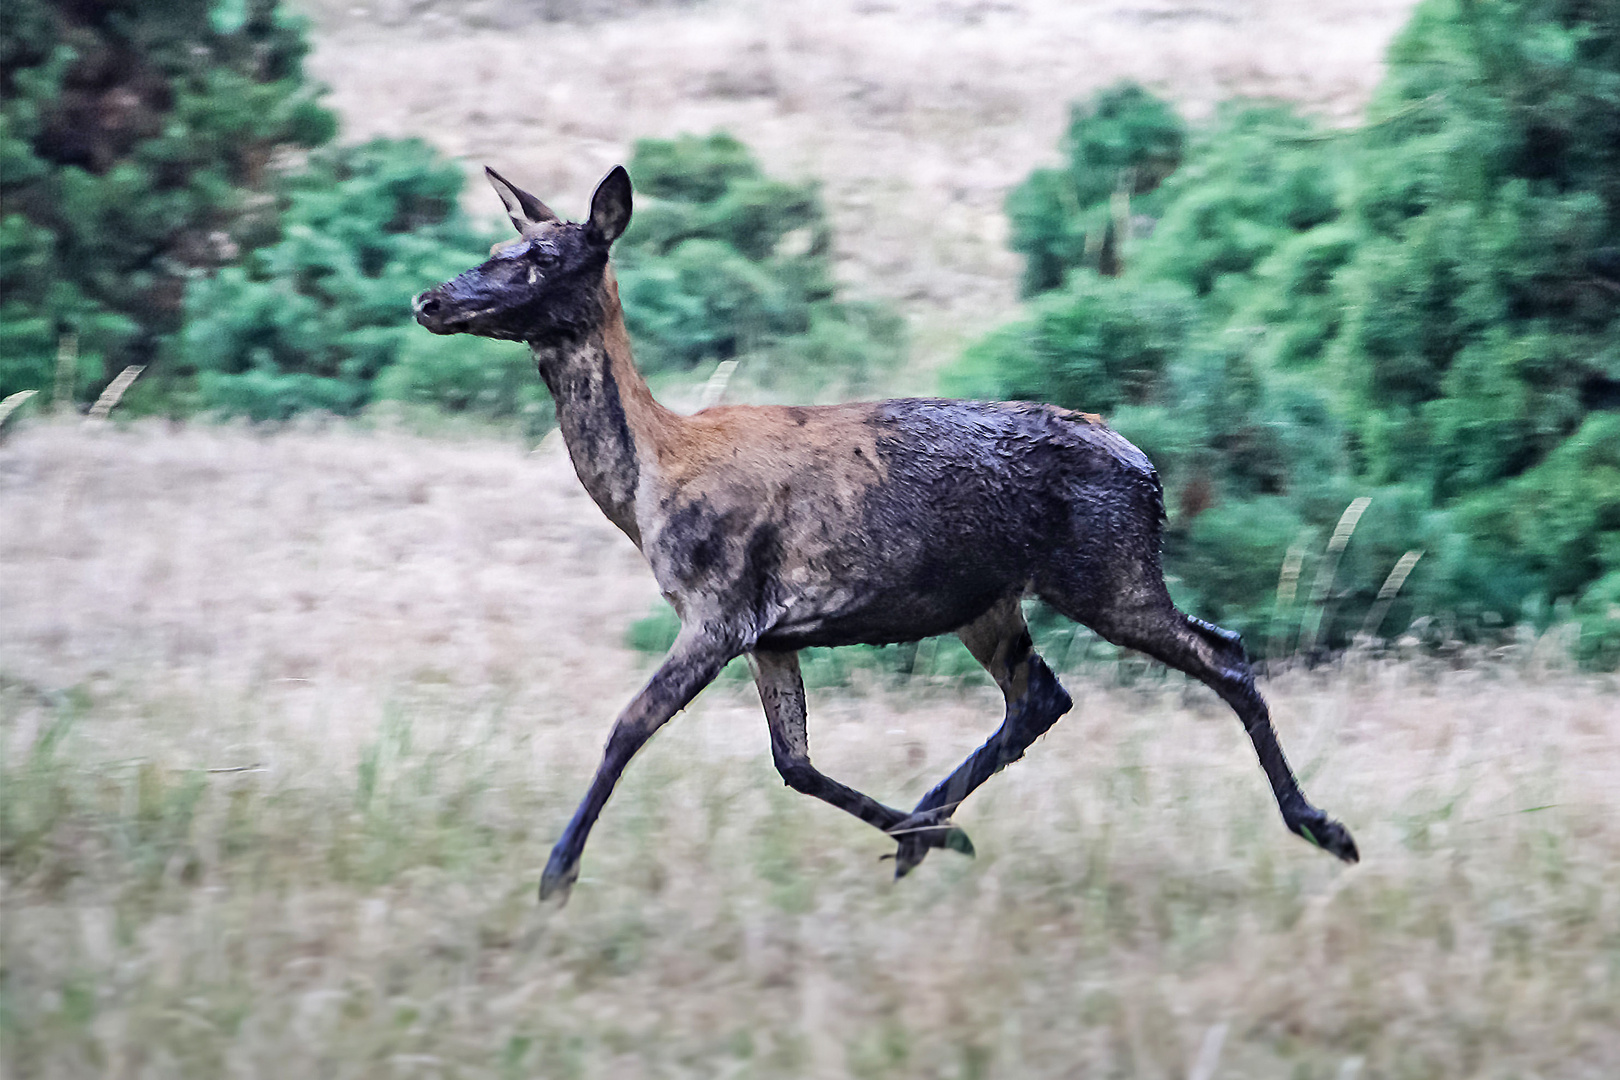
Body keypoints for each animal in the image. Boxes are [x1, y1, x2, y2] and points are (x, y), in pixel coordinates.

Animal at [411, 162, 1360, 906]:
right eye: (495, 248)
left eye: (539, 258)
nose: (430, 298)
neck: (649, 484)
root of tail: (1152, 474)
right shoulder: (771, 632)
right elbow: (793, 762)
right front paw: (927, 835)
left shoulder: (718, 606)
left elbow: (629, 726)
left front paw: (557, 874)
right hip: (992, 600)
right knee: (1043, 696)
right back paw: (925, 831)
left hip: (1107, 569)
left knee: (1222, 656)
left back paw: (1324, 828)